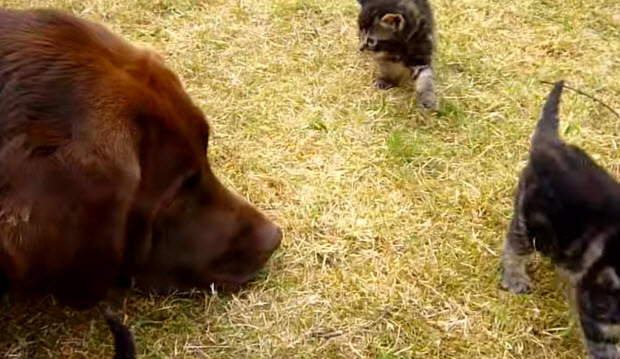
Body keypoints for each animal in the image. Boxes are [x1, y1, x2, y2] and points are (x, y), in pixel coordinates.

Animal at [502, 81, 620, 359]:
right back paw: (514, 278)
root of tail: (552, 144)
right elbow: (605, 349)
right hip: (530, 221)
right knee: (514, 245)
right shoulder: (596, 310)